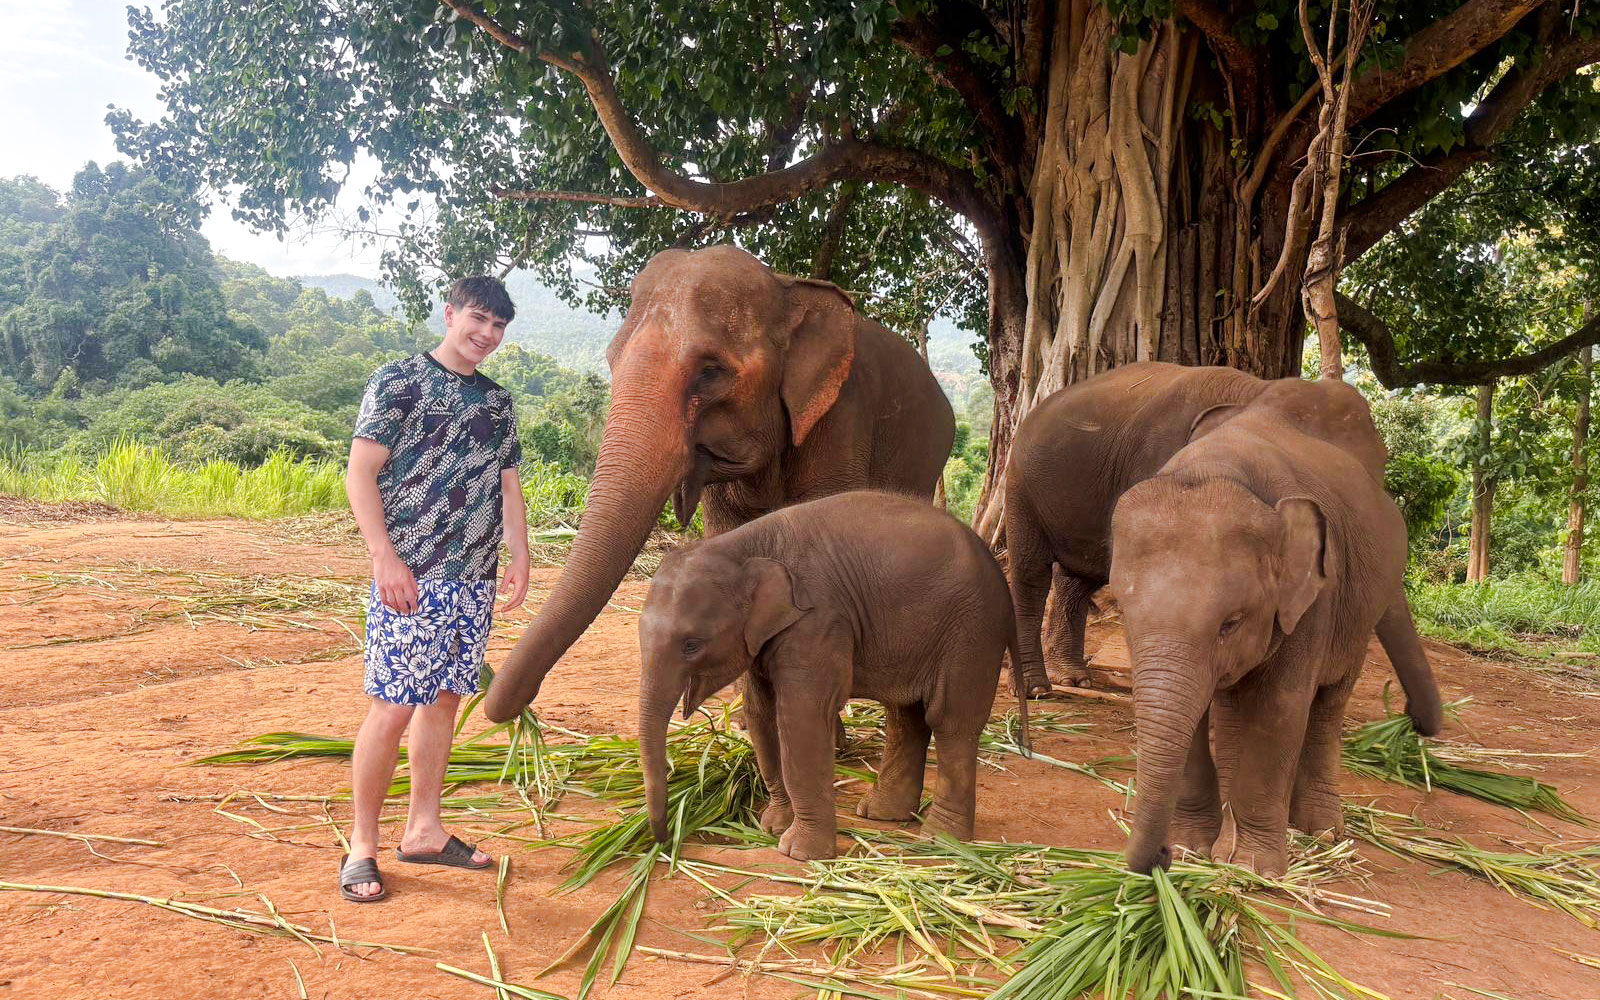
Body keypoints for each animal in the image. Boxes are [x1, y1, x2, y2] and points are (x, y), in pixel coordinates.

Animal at [485, 246, 956, 723]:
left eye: (710, 371)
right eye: (612, 360)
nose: (513, 708)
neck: (784, 285)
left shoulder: (841, 416)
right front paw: (750, 722)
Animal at [636, 491, 1027, 861]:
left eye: (691, 645)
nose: (665, 840)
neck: (743, 545)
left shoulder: (819, 621)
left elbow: (801, 717)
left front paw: (797, 852)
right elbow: (762, 713)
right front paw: (773, 827)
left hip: (972, 632)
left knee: (949, 721)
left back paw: (941, 839)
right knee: (907, 715)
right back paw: (883, 815)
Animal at [1003, 362, 1443, 739]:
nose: (1413, 723)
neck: (1256, 389)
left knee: (1077, 579)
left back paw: (1075, 677)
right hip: (1020, 482)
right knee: (1032, 574)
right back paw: (1038, 689)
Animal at [1114, 394, 1415, 876]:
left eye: (1231, 622)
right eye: (1121, 611)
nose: (1160, 856)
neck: (1218, 468)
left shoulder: (1315, 599)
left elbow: (1280, 705)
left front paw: (1251, 868)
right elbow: (1196, 711)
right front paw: (1194, 849)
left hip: (1360, 612)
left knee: (1328, 703)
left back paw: (1321, 832)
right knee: (1236, 706)